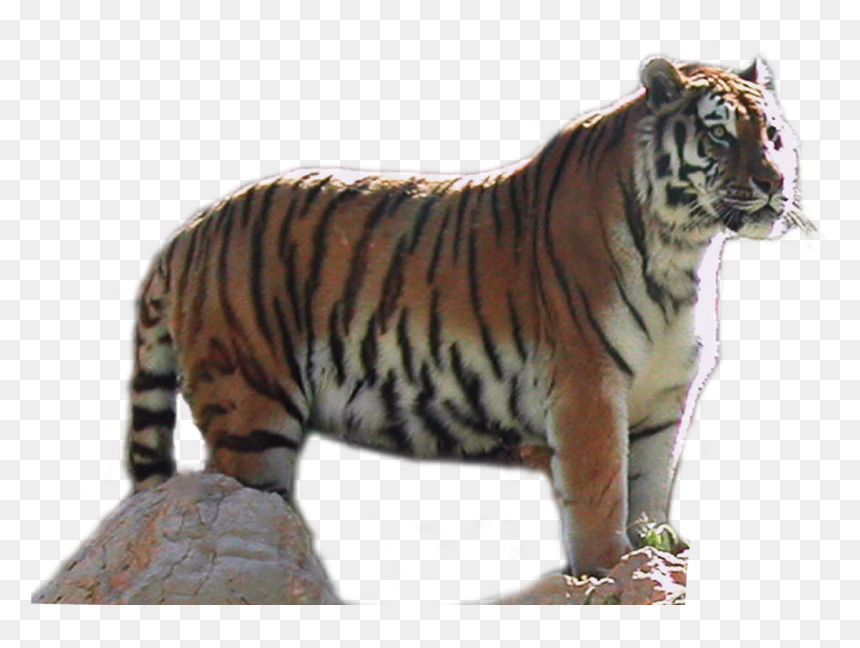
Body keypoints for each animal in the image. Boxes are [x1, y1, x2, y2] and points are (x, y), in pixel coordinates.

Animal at [126, 56, 812, 578]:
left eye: (773, 136)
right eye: (720, 134)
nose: (775, 182)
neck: (684, 253)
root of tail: (190, 229)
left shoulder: (665, 399)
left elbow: (648, 490)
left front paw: (652, 553)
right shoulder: (588, 385)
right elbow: (600, 488)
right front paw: (607, 569)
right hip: (252, 411)